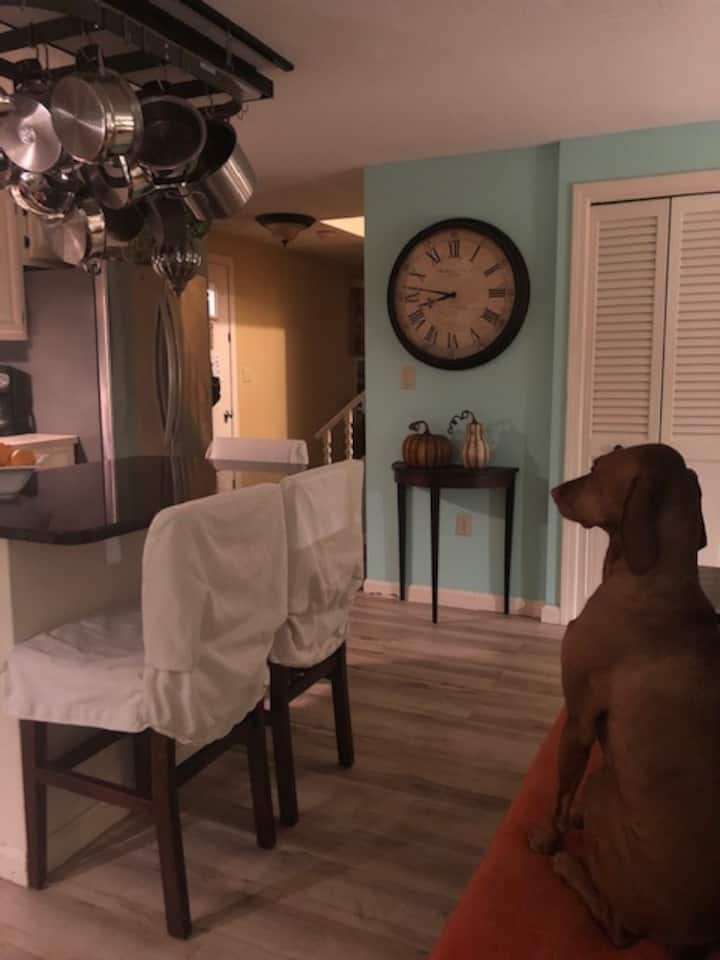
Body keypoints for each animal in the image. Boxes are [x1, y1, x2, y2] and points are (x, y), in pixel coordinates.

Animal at [530, 443, 720, 952]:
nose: (554, 490)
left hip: (602, 788)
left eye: (598, 468)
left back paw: (569, 863)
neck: (654, 578)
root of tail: (698, 936)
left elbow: (560, 791)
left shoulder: (577, 720)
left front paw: (548, 839)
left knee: (619, 931)